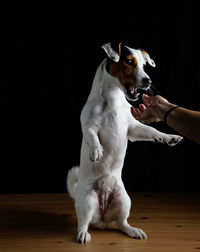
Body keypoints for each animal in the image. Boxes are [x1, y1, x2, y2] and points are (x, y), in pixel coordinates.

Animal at [67, 43, 183, 244]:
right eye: (129, 62)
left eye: (144, 65)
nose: (148, 81)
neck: (112, 98)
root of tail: (102, 218)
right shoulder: (88, 126)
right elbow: (92, 136)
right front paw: (96, 150)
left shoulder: (133, 129)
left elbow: (152, 131)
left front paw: (168, 137)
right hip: (87, 201)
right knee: (83, 222)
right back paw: (82, 234)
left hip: (123, 201)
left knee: (121, 223)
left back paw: (132, 230)